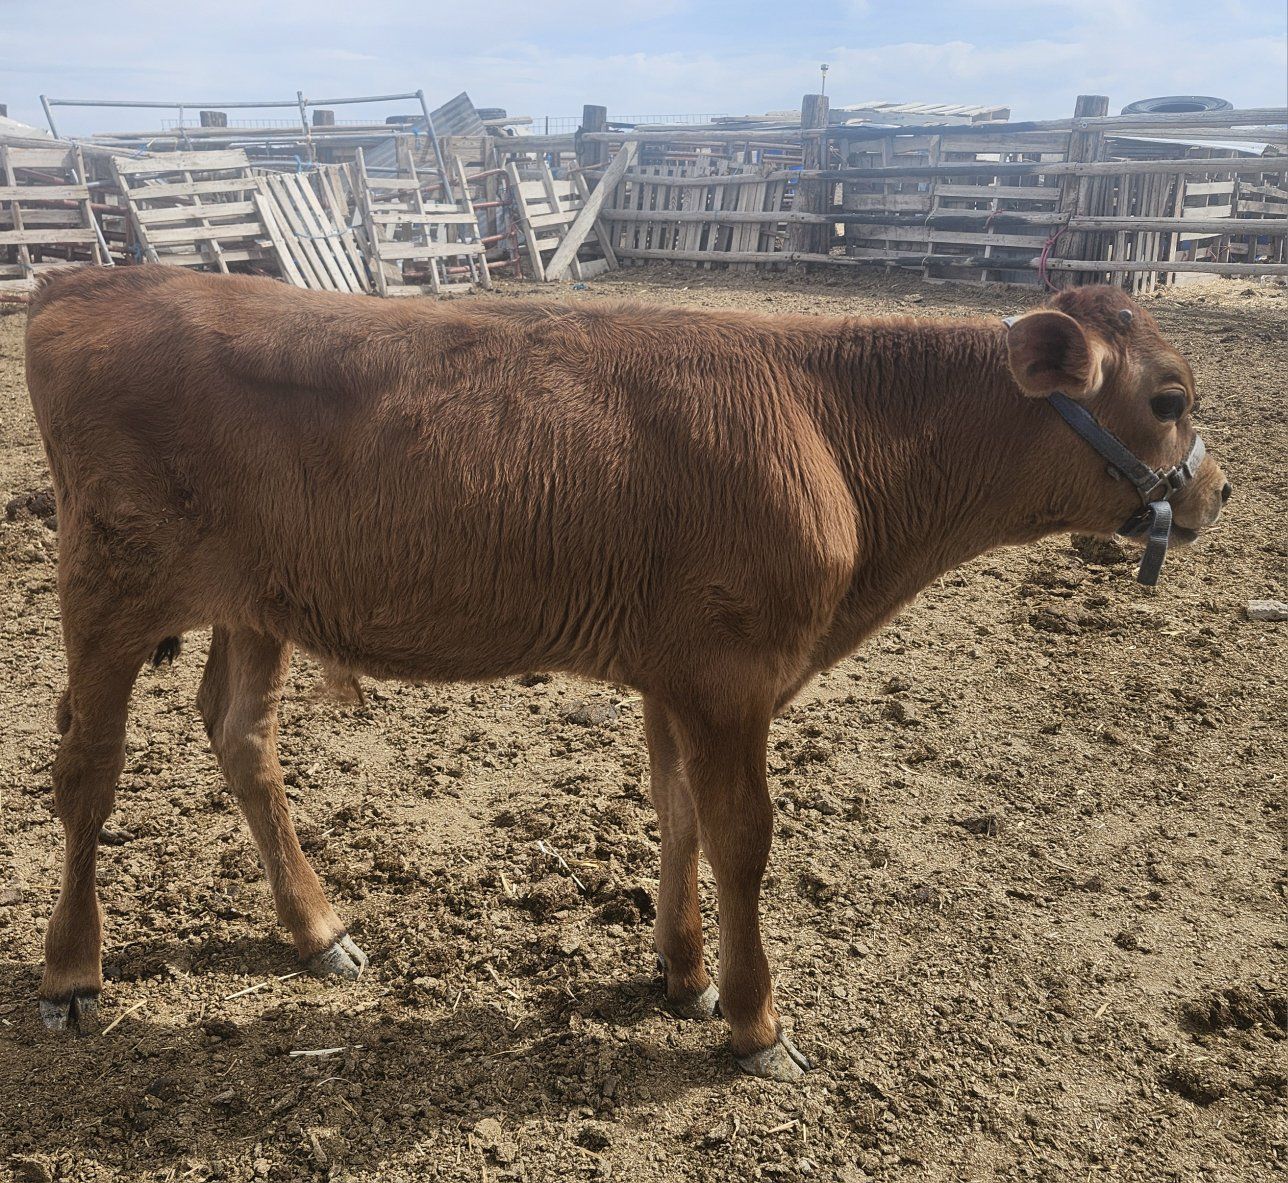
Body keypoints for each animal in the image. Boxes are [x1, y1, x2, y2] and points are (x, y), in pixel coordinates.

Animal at [24, 266, 1230, 1080]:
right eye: (1170, 398)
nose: (1218, 491)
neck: (827, 426)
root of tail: (93, 277)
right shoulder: (733, 673)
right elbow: (743, 837)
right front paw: (755, 1022)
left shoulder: (678, 670)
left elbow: (677, 809)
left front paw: (684, 975)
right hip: (107, 584)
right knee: (87, 766)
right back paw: (72, 974)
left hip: (255, 599)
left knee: (240, 735)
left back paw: (317, 929)